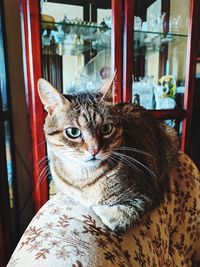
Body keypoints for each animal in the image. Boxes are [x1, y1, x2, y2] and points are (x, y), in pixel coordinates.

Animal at [38, 77, 179, 232]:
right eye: (73, 132)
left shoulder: (149, 193)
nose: (94, 150)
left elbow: (120, 215)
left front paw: (103, 210)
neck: (84, 179)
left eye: (106, 128)